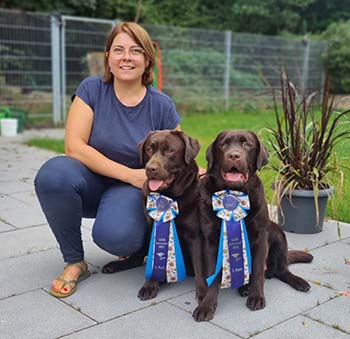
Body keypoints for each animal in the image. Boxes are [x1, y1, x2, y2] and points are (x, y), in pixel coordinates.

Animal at [137, 131, 208, 306]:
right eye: (149, 149)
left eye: (170, 151)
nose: (151, 168)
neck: (170, 196)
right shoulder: (153, 230)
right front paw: (150, 285)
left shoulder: (196, 236)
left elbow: (200, 267)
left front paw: (203, 292)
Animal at [193, 129, 314, 322]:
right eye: (224, 144)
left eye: (246, 145)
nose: (234, 155)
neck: (234, 193)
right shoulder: (211, 241)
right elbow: (213, 276)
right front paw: (206, 306)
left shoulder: (261, 236)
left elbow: (257, 271)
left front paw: (256, 297)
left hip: (277, 233)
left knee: (281, 270)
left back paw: (297, 282)